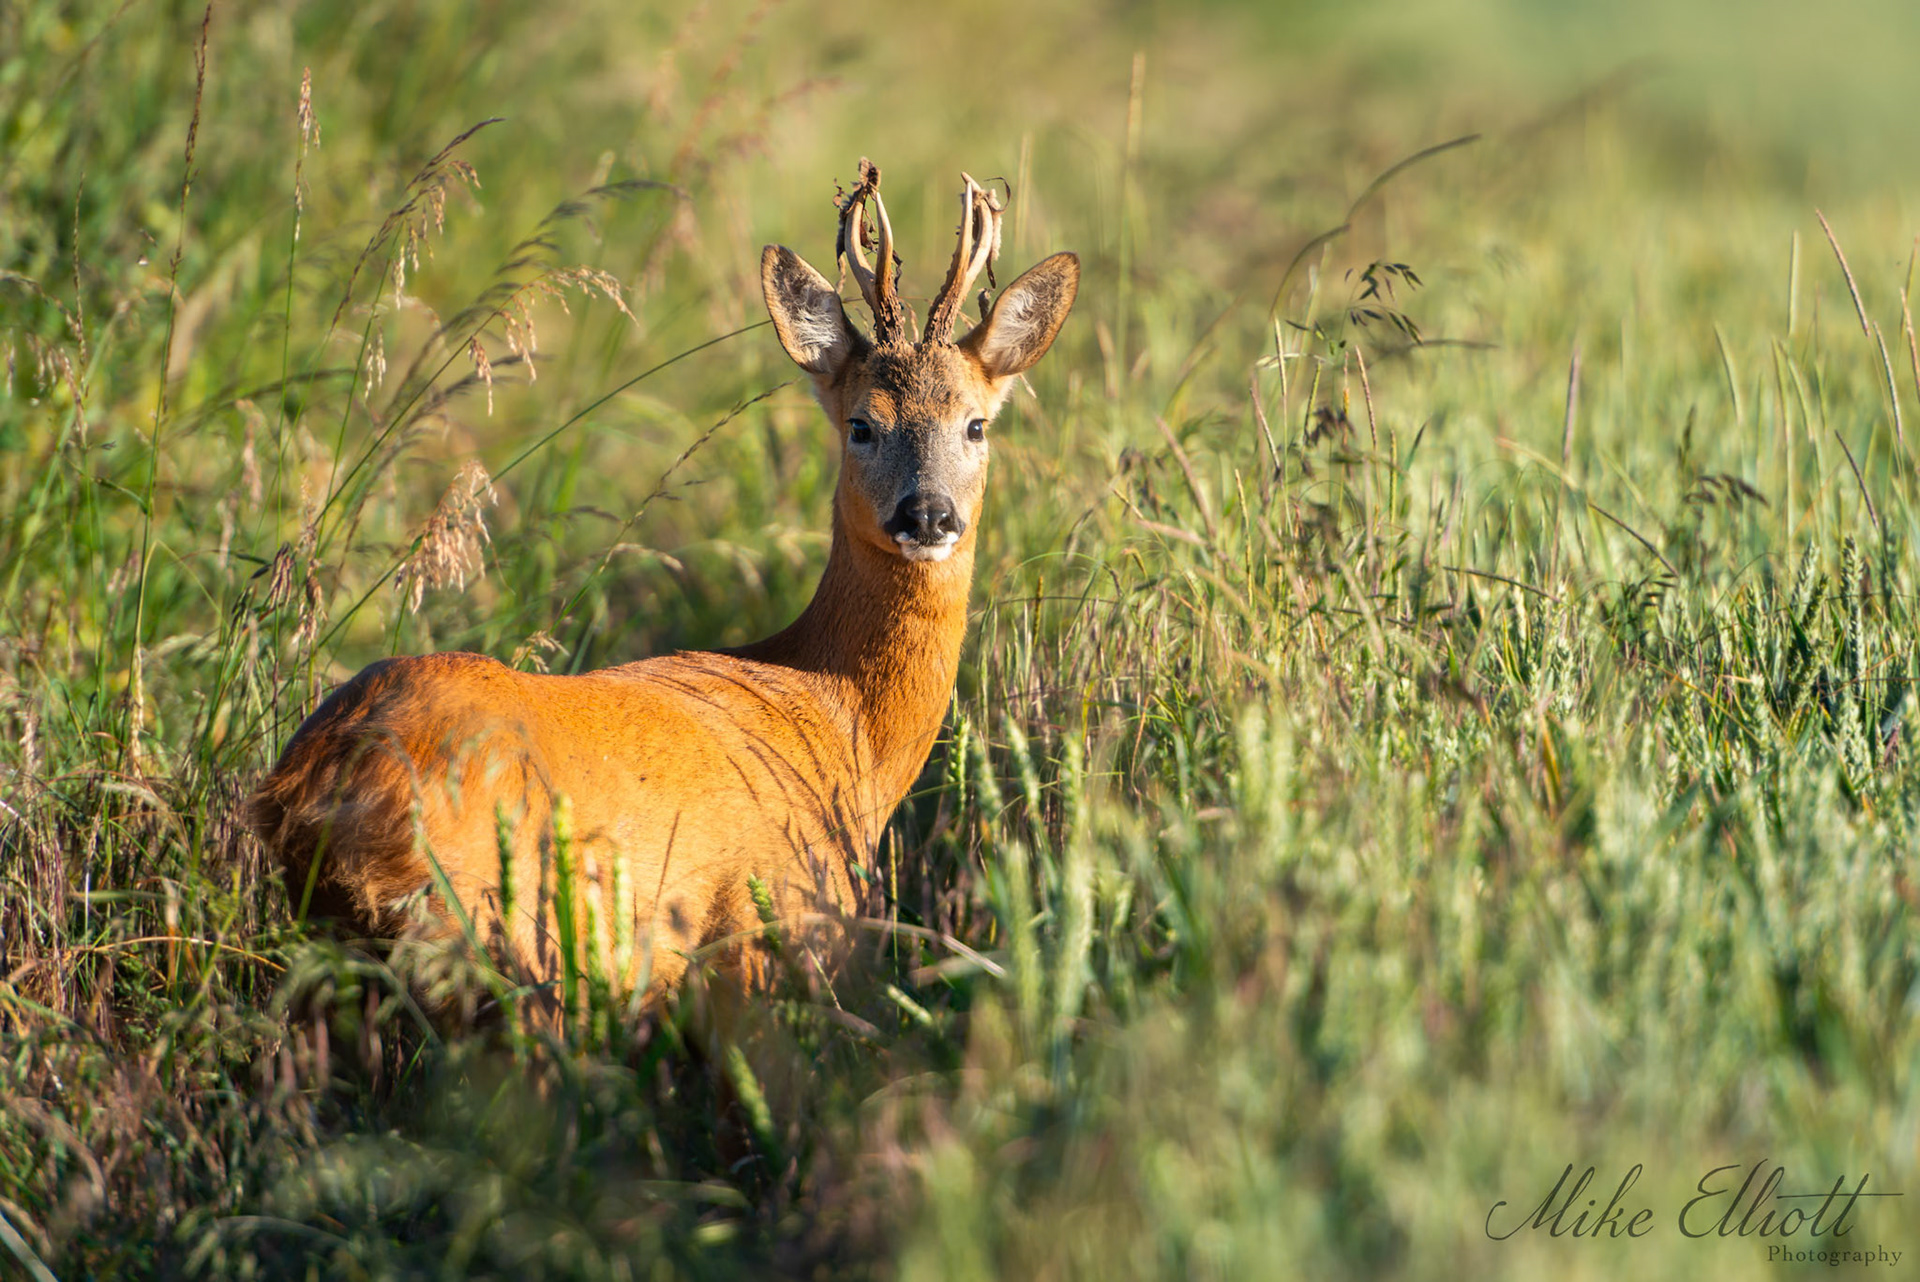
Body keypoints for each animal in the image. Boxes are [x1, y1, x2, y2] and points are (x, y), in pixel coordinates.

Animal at [247, 160, 1080, 1020]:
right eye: (861, 424)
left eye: (976, 424)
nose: (928, 513)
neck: (839, 719)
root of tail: (320, 785)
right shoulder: (764, 930)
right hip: (496, 935)